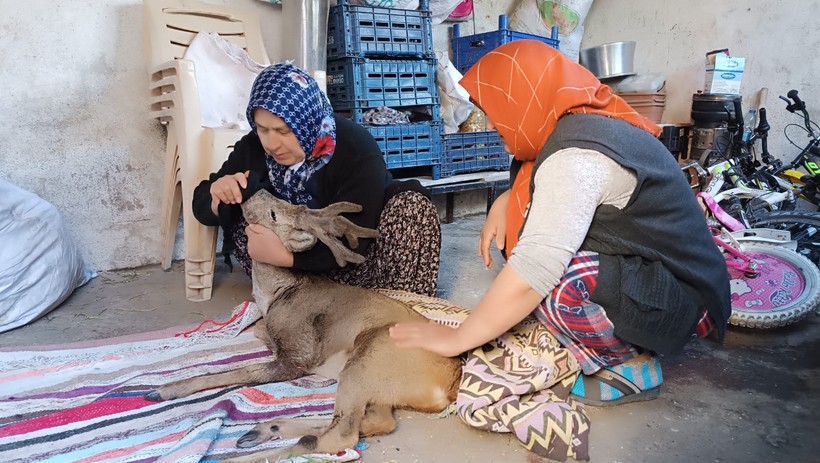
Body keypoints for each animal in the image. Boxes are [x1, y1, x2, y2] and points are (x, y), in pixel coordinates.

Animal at [146, 189, 462, 463]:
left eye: (273, 214)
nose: (254, 191)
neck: (276, 293)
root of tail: (449, 385)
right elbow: (254, 333)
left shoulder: (297, 356)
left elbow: (241, 370)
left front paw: (165, 388)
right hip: (377, 380)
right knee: (373, 421)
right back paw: (265, 429)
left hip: (372, 352)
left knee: (342, 434)